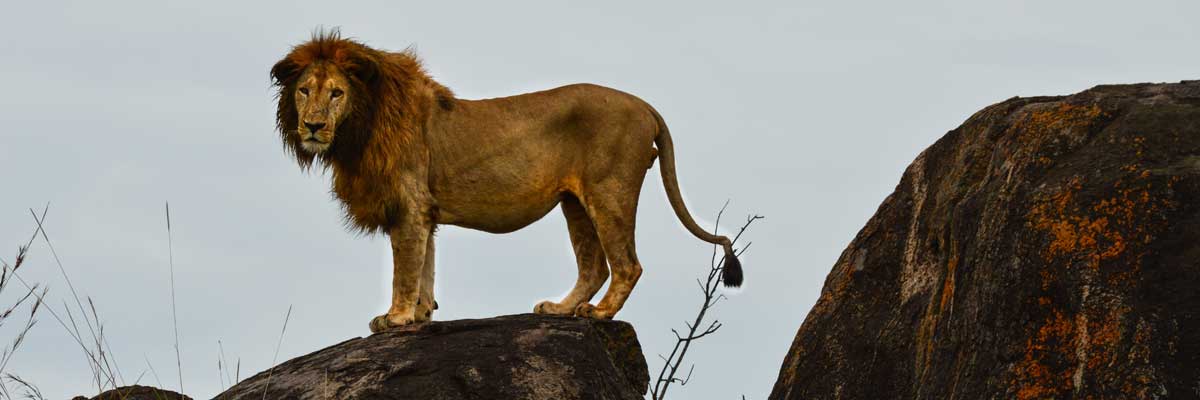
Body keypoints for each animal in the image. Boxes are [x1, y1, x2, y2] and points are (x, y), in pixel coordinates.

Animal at [271, 31, 739, 331]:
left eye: (336, 92)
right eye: (303, 90)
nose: (312, 126)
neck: (359, 128)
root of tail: (646, 106)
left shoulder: (409, 206)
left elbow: (404, 269)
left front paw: (396, 317)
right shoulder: (423, 212)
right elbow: (425, 266)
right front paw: (421, 315)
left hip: (610, 191)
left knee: (627, 265)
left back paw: (599, 314)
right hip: (575, 202)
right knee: (594, 266)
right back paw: (560, 308)